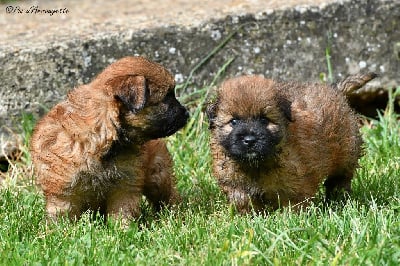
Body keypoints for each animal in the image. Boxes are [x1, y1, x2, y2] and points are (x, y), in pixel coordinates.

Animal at [29, 56, 189, 222]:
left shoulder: (125, 184)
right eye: (167, 97)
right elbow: (62, 213)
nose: (187, 113)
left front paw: (123, 227)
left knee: (168, 195)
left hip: (158, 174)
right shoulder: (63, 190)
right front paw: (59, 228)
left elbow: (123, 211)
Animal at [208, 73, 376, 214]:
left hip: (346, 155)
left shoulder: (297, 186)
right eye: (233, 121)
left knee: (340, 180)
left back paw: (337, 200)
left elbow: (293, 204)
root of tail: (336, 91)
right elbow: (243, 200)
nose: (249, 140)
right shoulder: (234, 184)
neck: (255, 165)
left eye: (264, 120)